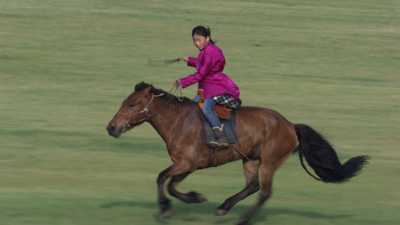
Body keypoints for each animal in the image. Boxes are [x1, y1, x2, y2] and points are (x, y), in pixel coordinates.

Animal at [106, 82, 368, 225]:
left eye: (131, 104)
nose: (111, 128)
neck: (179, 122)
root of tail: (290, 125)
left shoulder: (186, 163)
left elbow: (162, 178)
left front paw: (165, 208)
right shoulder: (187, 165)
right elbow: (170, 184)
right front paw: (194, 198)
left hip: (269, 161)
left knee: (264, 192)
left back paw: (242, 218)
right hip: (250, 160)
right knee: (252, 186)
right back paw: (224, 207)